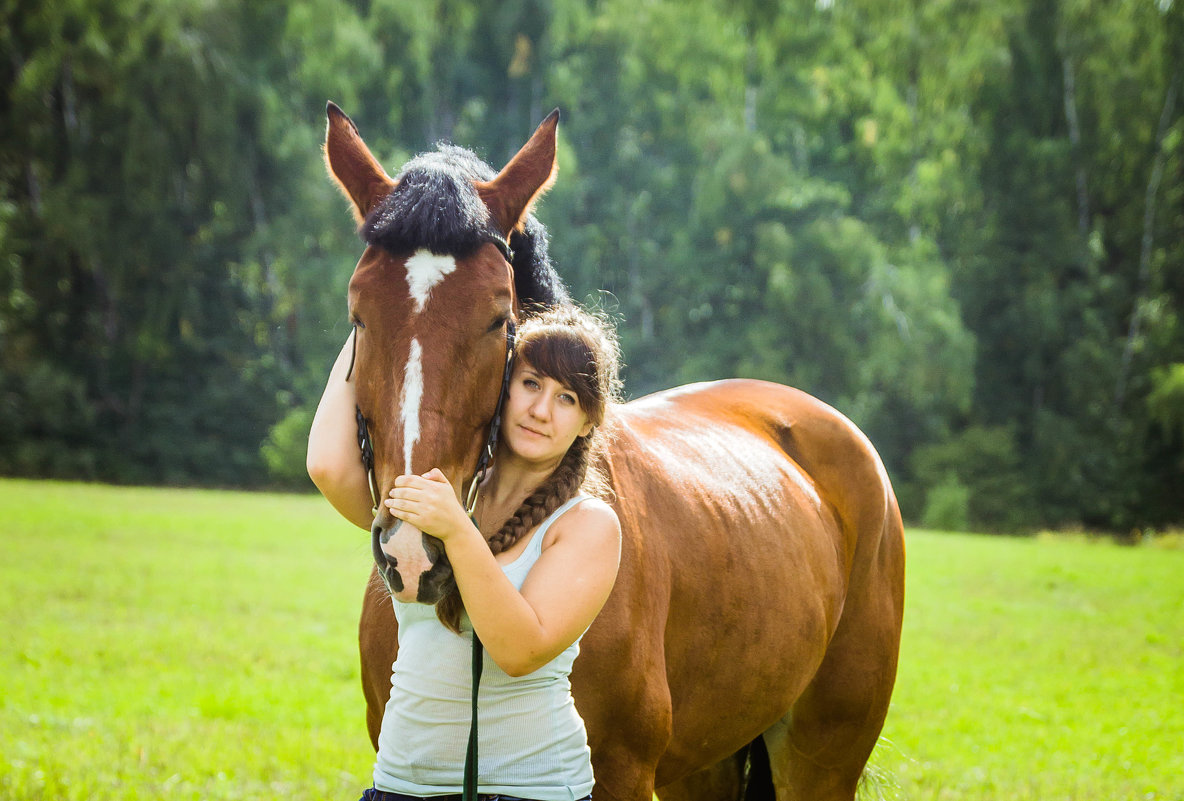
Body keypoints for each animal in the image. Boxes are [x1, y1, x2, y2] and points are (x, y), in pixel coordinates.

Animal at [324, 104, 904, 799]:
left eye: (498, 319)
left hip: (823, 755)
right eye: (359, 315)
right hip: (707, 761)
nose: (412, 551)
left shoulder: (623, 772)